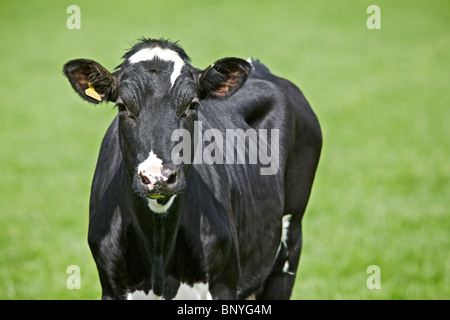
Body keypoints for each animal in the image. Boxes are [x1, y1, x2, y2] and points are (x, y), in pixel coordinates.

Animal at [64, 38, 324, 300]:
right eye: (122, 106)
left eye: (192, 104)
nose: (158, 177)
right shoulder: (111, 286)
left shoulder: (223, 283)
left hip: (290, 241)